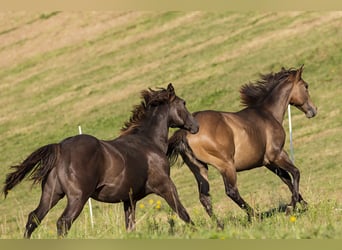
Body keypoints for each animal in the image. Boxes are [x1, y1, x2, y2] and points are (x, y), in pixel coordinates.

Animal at [2, 83, 199, 238]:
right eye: (183, 103)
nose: (195, 126)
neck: (148, 142)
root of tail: (61, 147)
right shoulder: (165, 186)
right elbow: (183, 213)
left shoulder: (129, 199)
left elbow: (130, 226)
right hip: (78, 197)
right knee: (63, 222)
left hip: (52, 194)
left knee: (33, 218)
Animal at [168, 66, 318, 223]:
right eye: (306, 86)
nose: (313, 110)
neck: (268, 114)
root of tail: (186, 132)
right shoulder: (277, 154)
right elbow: (295, 173)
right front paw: (291, 207)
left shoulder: (268, 162)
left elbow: (286, 179)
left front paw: (304, 204)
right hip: (226, 165)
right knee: (232, 191)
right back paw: (256, 216)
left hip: (199, 168)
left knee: (204, 197)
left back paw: (219, 224)